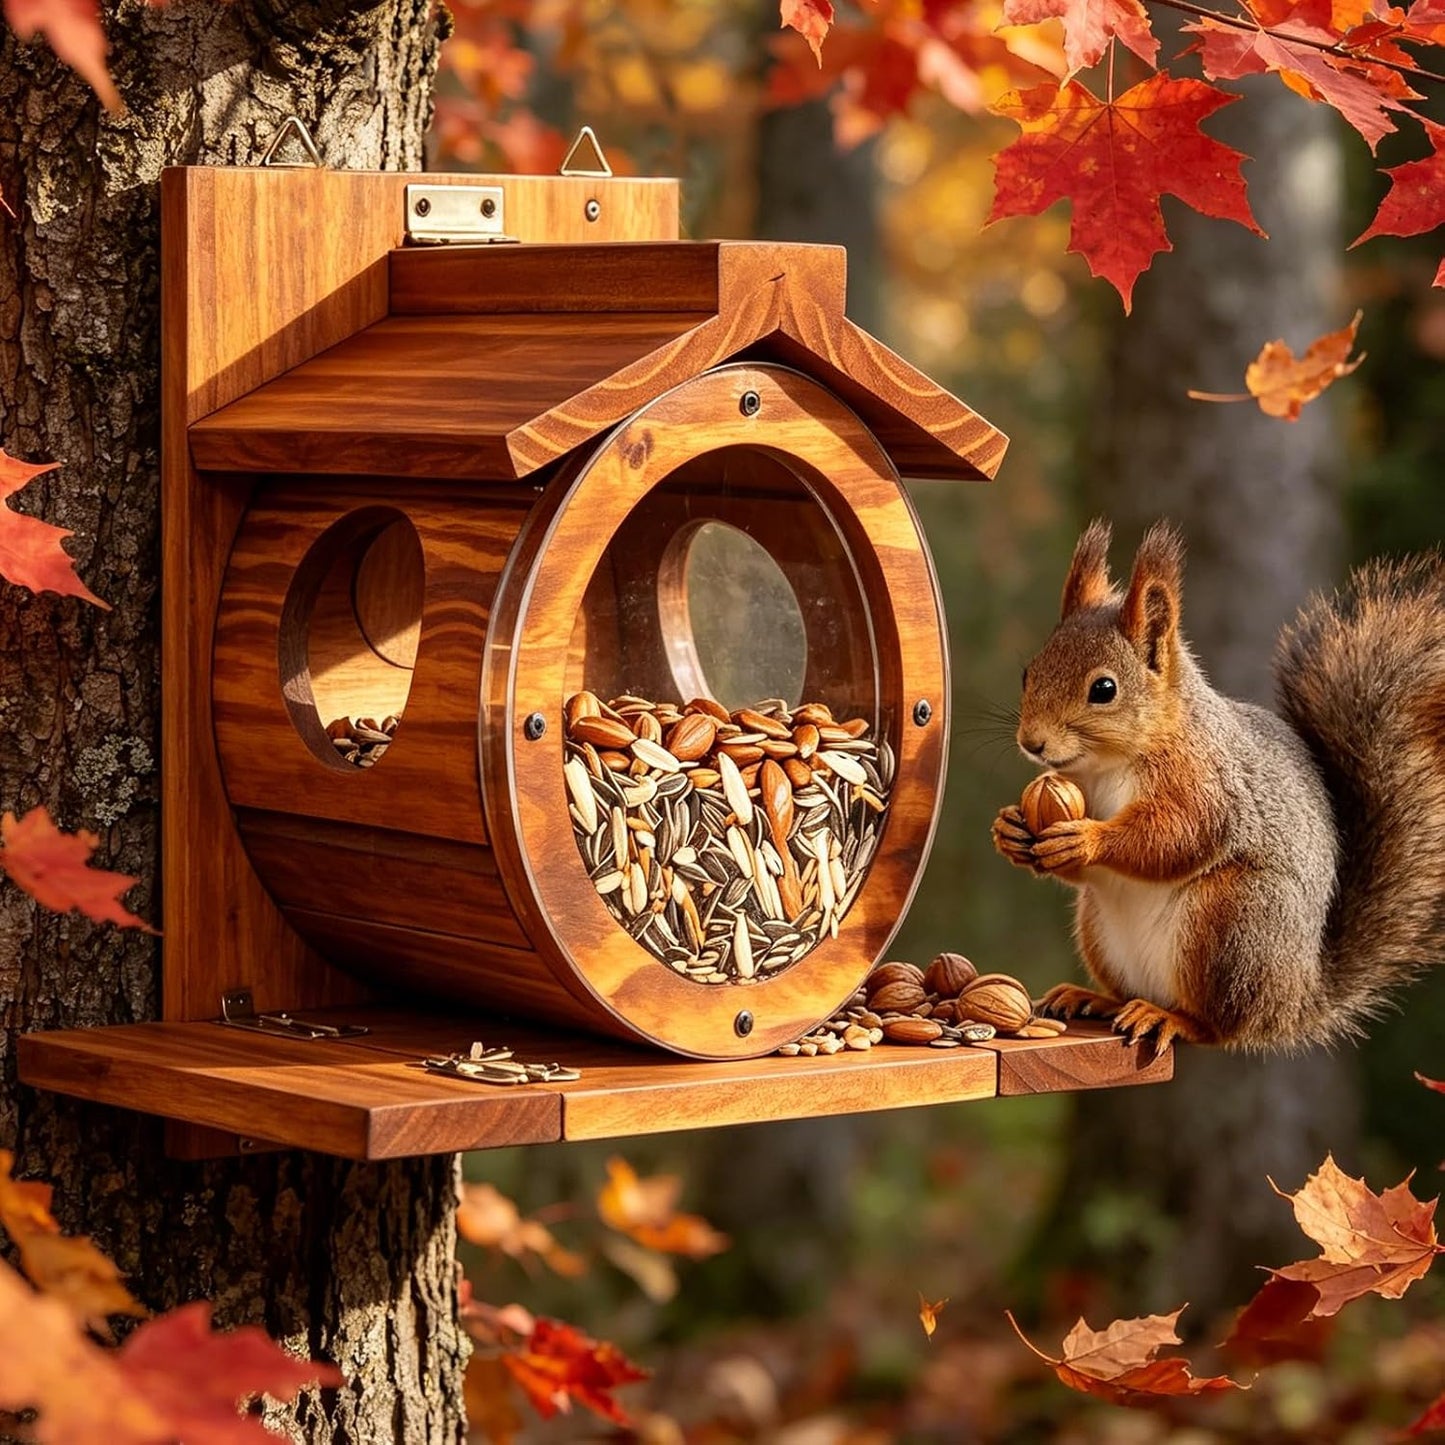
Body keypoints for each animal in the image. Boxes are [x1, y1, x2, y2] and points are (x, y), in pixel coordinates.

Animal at [991, 518, 1445, 1052]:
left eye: (1103, 689)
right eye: (1028, 673)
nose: (1032, 742)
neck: (1105, 764)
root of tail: (1293, 1001)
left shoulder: (1205, 781)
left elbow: (1179, 835)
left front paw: (1087, 838)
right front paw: (1010, 829)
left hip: (1231, 925)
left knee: (1216, 1025)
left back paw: (1170, 1018)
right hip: (1099, 928)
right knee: (1130, 992)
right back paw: (1096, 999)